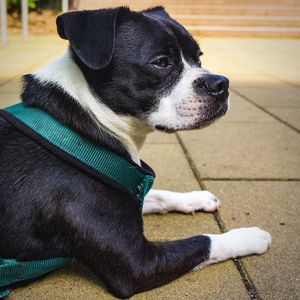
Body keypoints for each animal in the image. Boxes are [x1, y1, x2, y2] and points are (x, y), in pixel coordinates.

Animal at [0, 5, 272, 298]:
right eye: (161, 62)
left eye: (199, 58)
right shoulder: (136, 264)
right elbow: (204, 241)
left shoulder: (127, 190)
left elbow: (157, 195)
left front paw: (195, 197)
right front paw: (248, 236)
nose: (221, 83)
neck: (83, 120)